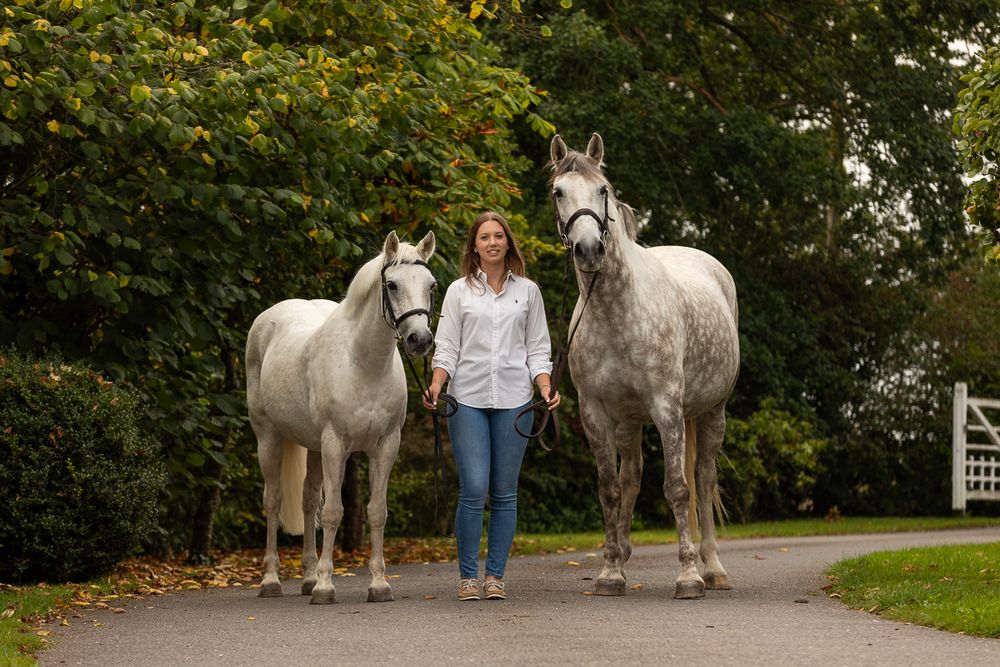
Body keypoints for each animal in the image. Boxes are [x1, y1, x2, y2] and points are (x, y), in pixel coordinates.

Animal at [245, 230, 436, 604]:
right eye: (391, 284)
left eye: (431, 285)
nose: (419, 340)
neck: (364, 364)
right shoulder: (335, 445)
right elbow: (334, 512)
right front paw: (325, 587)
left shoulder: (385, 446)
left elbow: (376, 512)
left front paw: (378, 585)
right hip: (268, 438)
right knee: (273, 502)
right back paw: (272, 581)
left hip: (313, 447)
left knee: (307, 501)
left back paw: (306, 577)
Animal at [549, 133, 740, 599]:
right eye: (558, 192)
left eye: (603, 190)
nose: (589, 249)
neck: (616, 309)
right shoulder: (596, 414)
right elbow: (610, 489)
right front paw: (609, 571)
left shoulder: (666, 407)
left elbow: (677, 488)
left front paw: (688, 576)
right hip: (630, 421)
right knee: (631, 476)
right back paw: (624, 553)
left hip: (712, 412)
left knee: (704, 478)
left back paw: (713, 568)